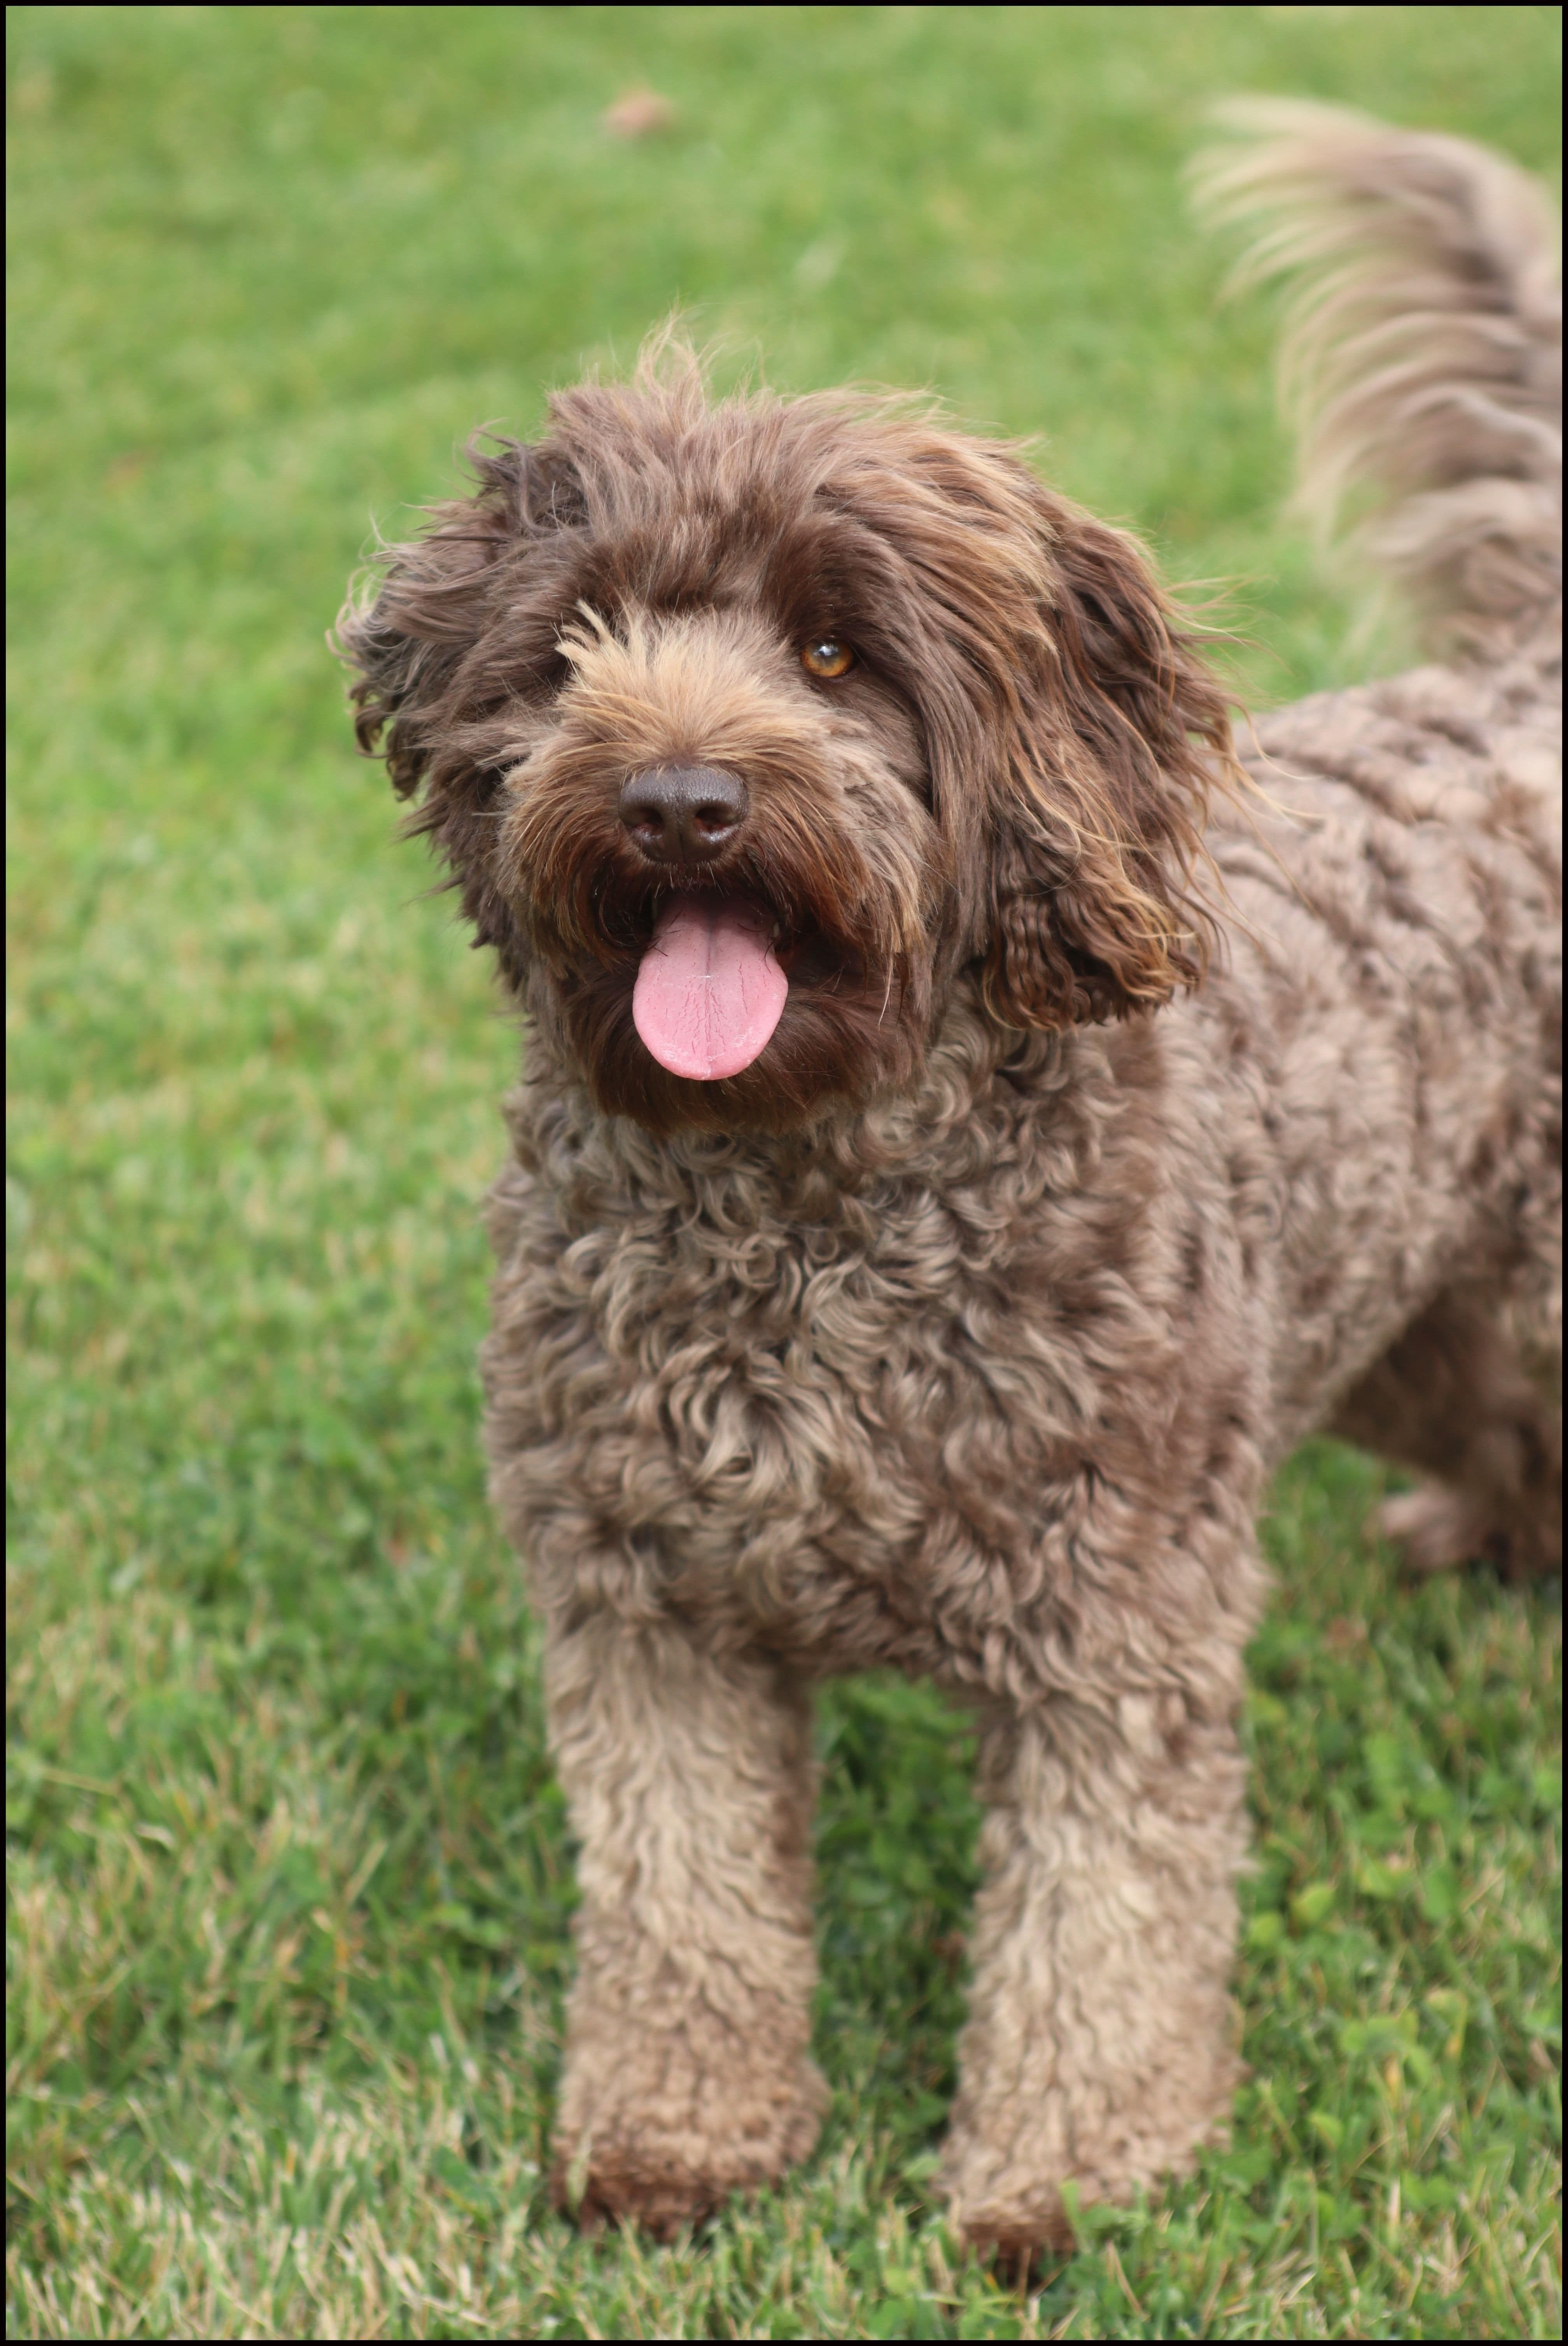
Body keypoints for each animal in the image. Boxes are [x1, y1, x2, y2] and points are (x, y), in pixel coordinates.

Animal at [338, 105, 1558, 2252]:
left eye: (837, 651)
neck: (802, 1206)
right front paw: (677, 2138)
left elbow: (1098, 1918)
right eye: (575, 647)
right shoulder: (648, 1615)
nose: (676, 800)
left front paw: (1062, 2182)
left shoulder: (1112, 1627)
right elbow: (680, 1904)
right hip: (1403, 1301)